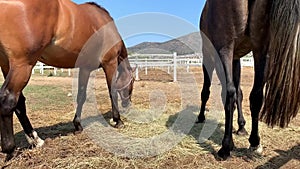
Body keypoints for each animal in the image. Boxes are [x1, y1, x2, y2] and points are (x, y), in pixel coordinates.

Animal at [0, 0, 134, 157]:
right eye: (131, 85)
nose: (127, 106)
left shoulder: (85, 68)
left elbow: (81, 95)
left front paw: (78, 125)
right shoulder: (110, 63)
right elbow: (112, 92)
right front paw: (117, 120)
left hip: (7, 64)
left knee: (19, 102)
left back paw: (36, 140)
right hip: (23, 65)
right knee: (8, 99)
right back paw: (10, 148)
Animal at [200, 0, 298, 159]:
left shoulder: (210, 55)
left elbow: (207, 91)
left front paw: (201, 117)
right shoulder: (237, 58)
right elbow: (239, 93)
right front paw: (241, 126)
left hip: (224, 49)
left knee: (229, 93)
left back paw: (226, 147)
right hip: (261, 50)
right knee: (255, 95)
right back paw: (254, 142)